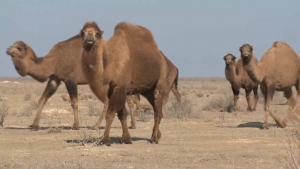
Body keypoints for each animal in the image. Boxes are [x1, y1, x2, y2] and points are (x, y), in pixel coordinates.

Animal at [6, 40, 141, 129]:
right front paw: (34, 124)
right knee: (127, 100)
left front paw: (76, 125)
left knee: (108, 101)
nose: (8, 49)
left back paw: (96, 125)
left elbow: (74, 102)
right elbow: (42, 99)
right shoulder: (55, 78)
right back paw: (132, 125)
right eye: (13, 44)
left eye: (19, 48)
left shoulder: (70, 79)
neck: (53, 61)